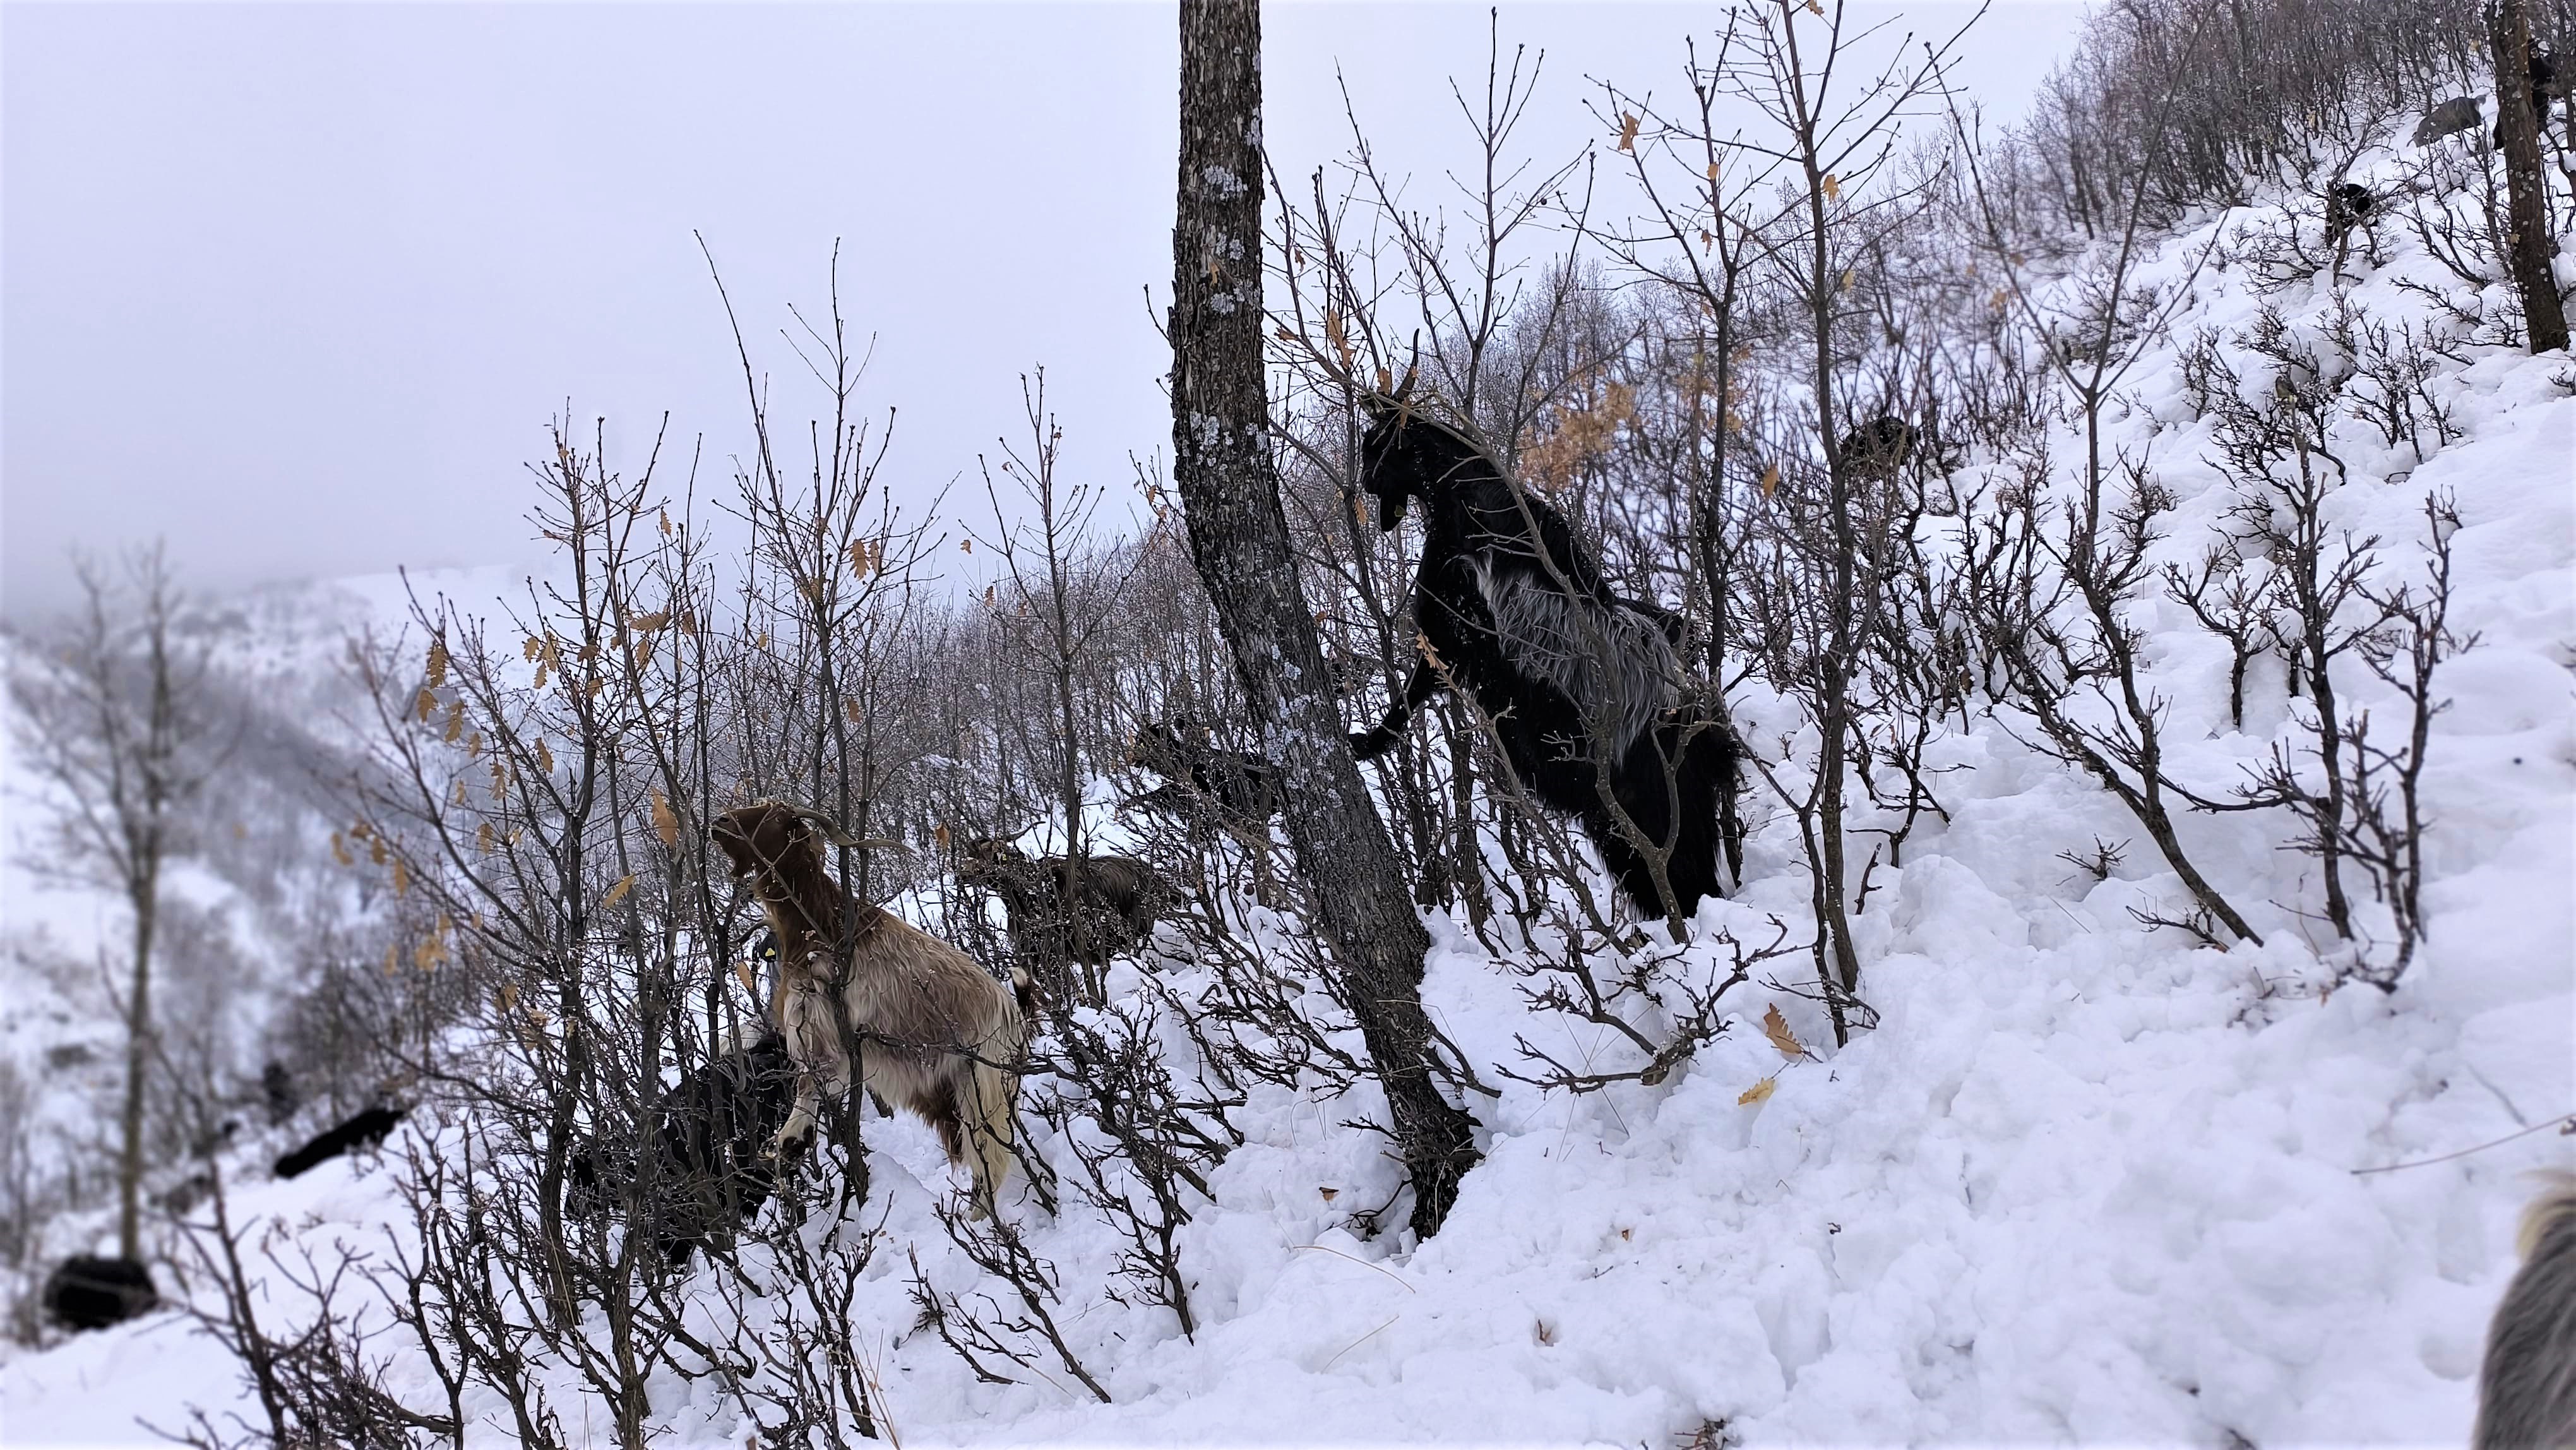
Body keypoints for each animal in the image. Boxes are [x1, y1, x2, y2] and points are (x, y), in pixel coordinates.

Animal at [711, 798, 1030, 1221]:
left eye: (776, 818)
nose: (719, 823)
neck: (821, 926)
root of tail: (1017, 1018)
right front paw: (791, 1143)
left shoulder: (827, 1032)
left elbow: (809, 1083)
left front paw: (791, 1141)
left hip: (983, 1089)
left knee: (990, 1162)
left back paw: (982, 1222)